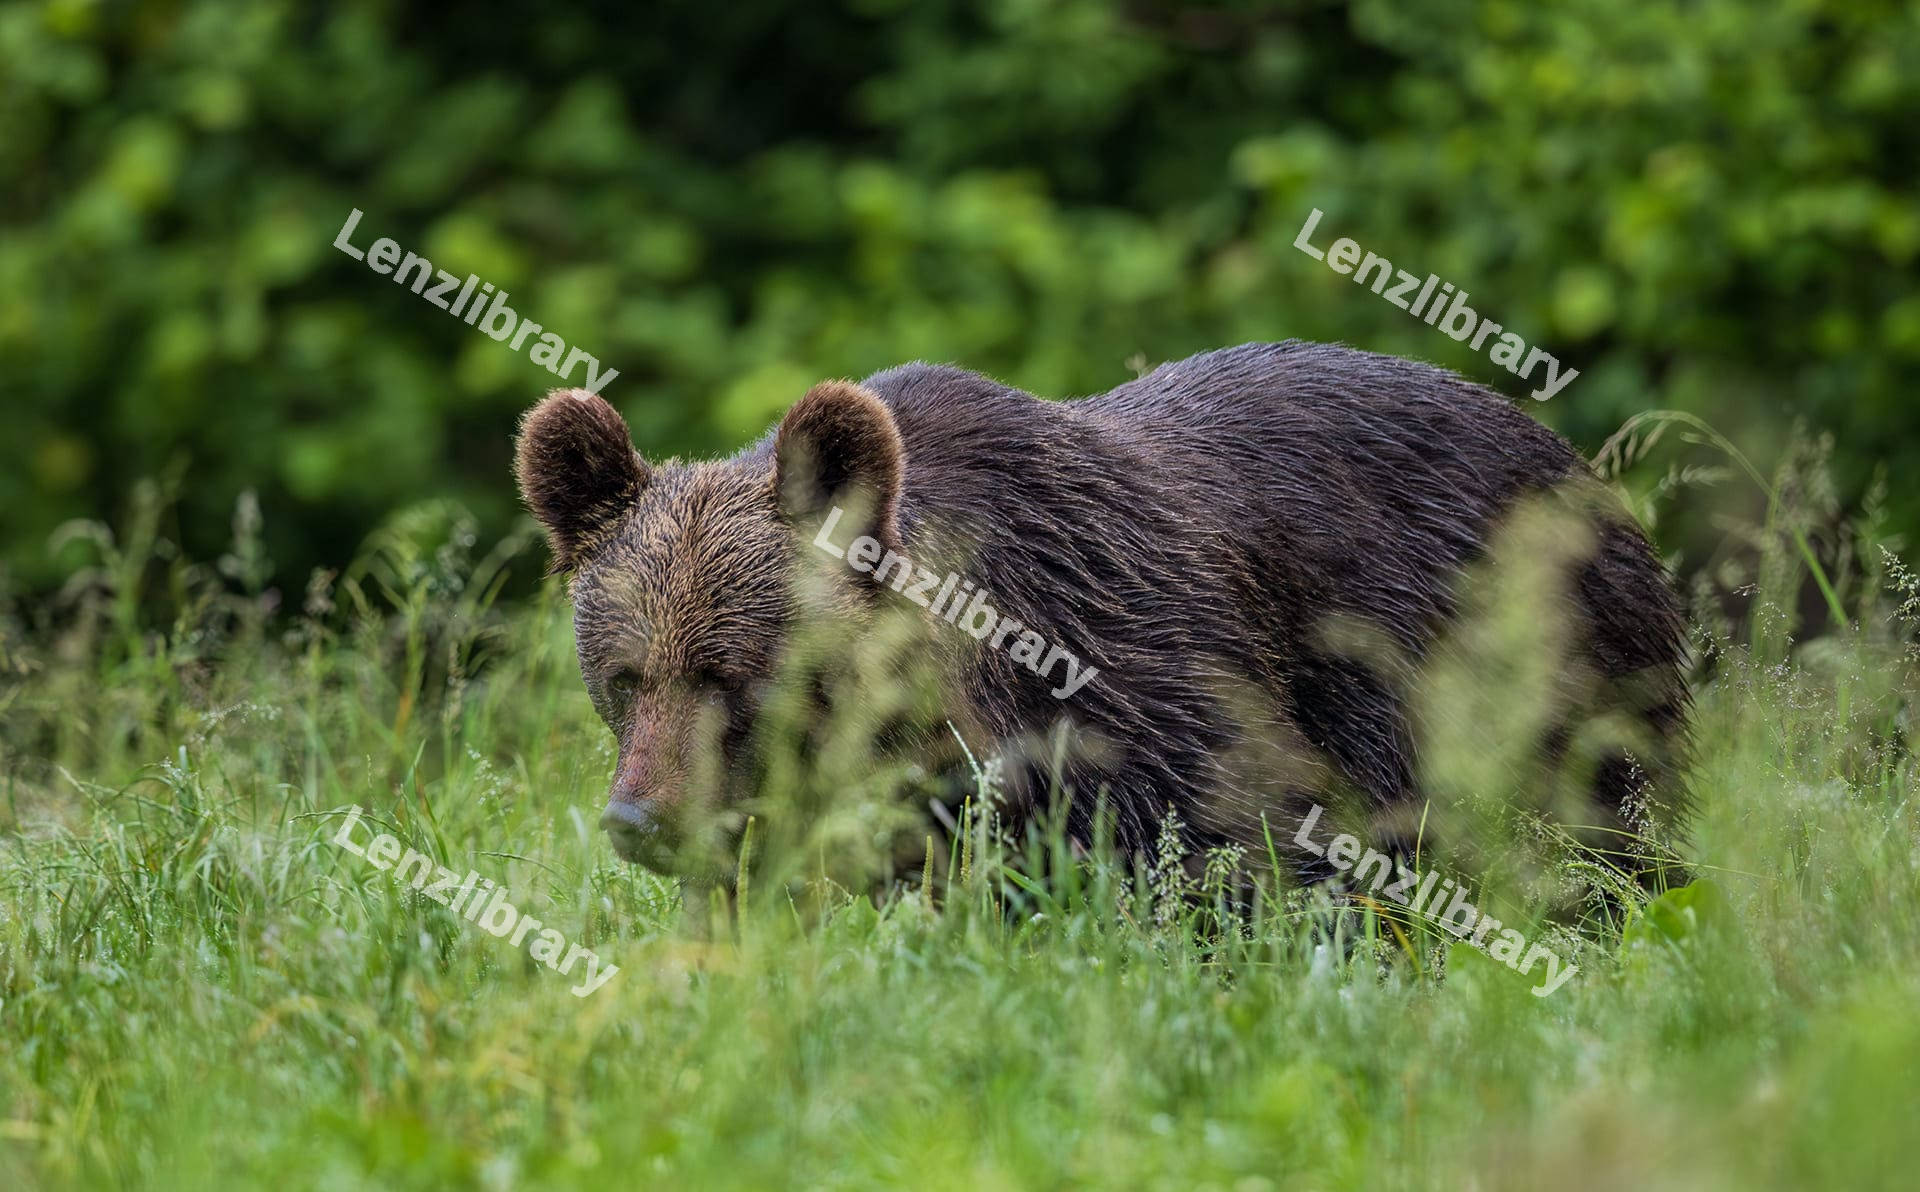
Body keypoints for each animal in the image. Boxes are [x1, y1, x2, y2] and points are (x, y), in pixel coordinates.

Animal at [514, 340, 1690, 897]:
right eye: (625, 675)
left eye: (735, 672)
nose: (642, 820)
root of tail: (1578, 464)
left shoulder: (1139, 666)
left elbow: (1254, 842)